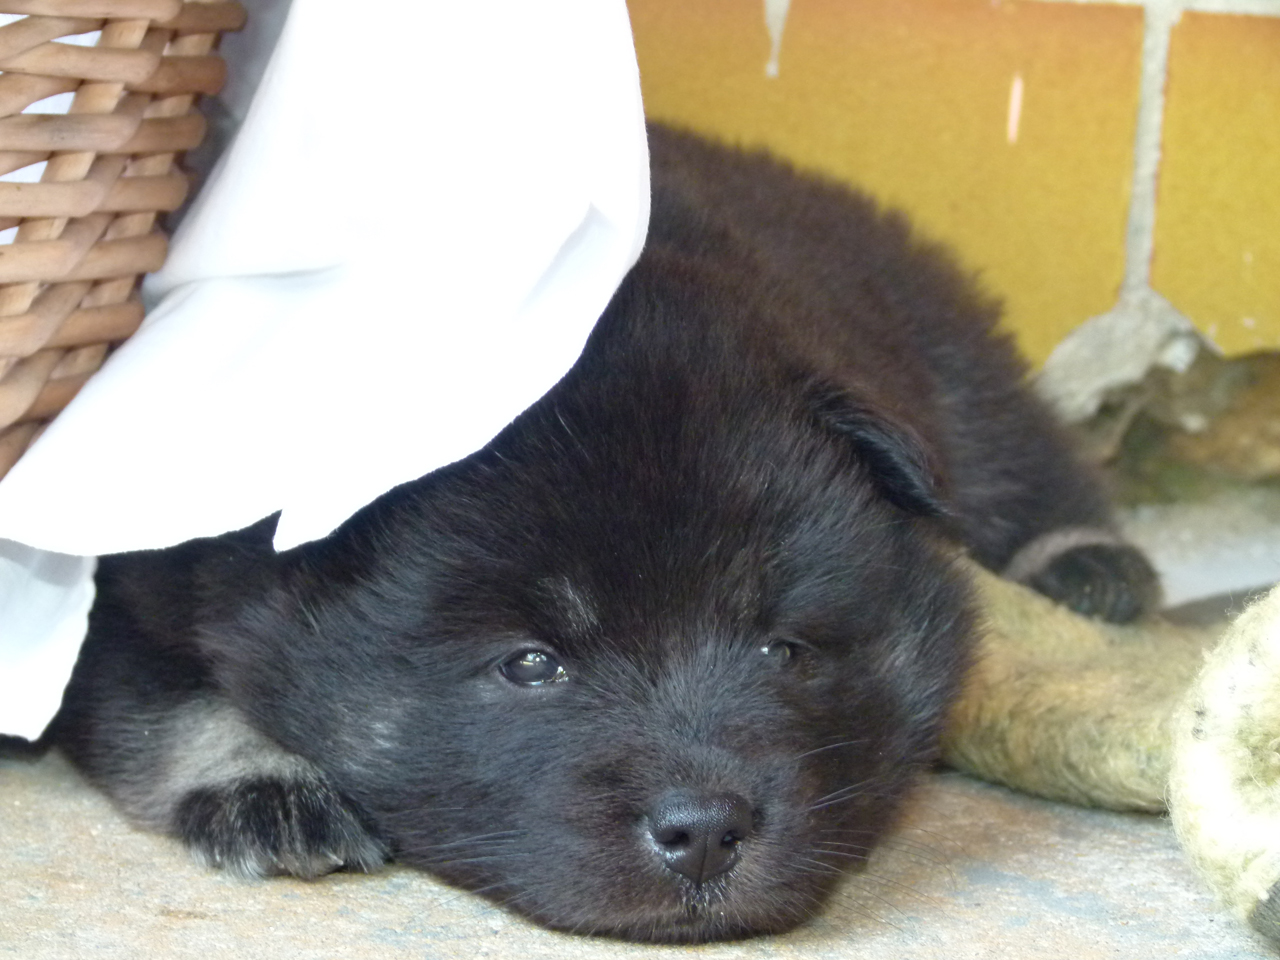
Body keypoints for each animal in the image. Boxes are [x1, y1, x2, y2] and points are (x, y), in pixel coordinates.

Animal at [47, 124, 1159, 942]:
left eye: (782, 649)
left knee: (1018, 447)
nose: (704, 833)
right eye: (530, 664)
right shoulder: (115, 577)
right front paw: (264, 780)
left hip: (943, 348)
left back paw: (1086, 563)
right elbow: (155, 696)